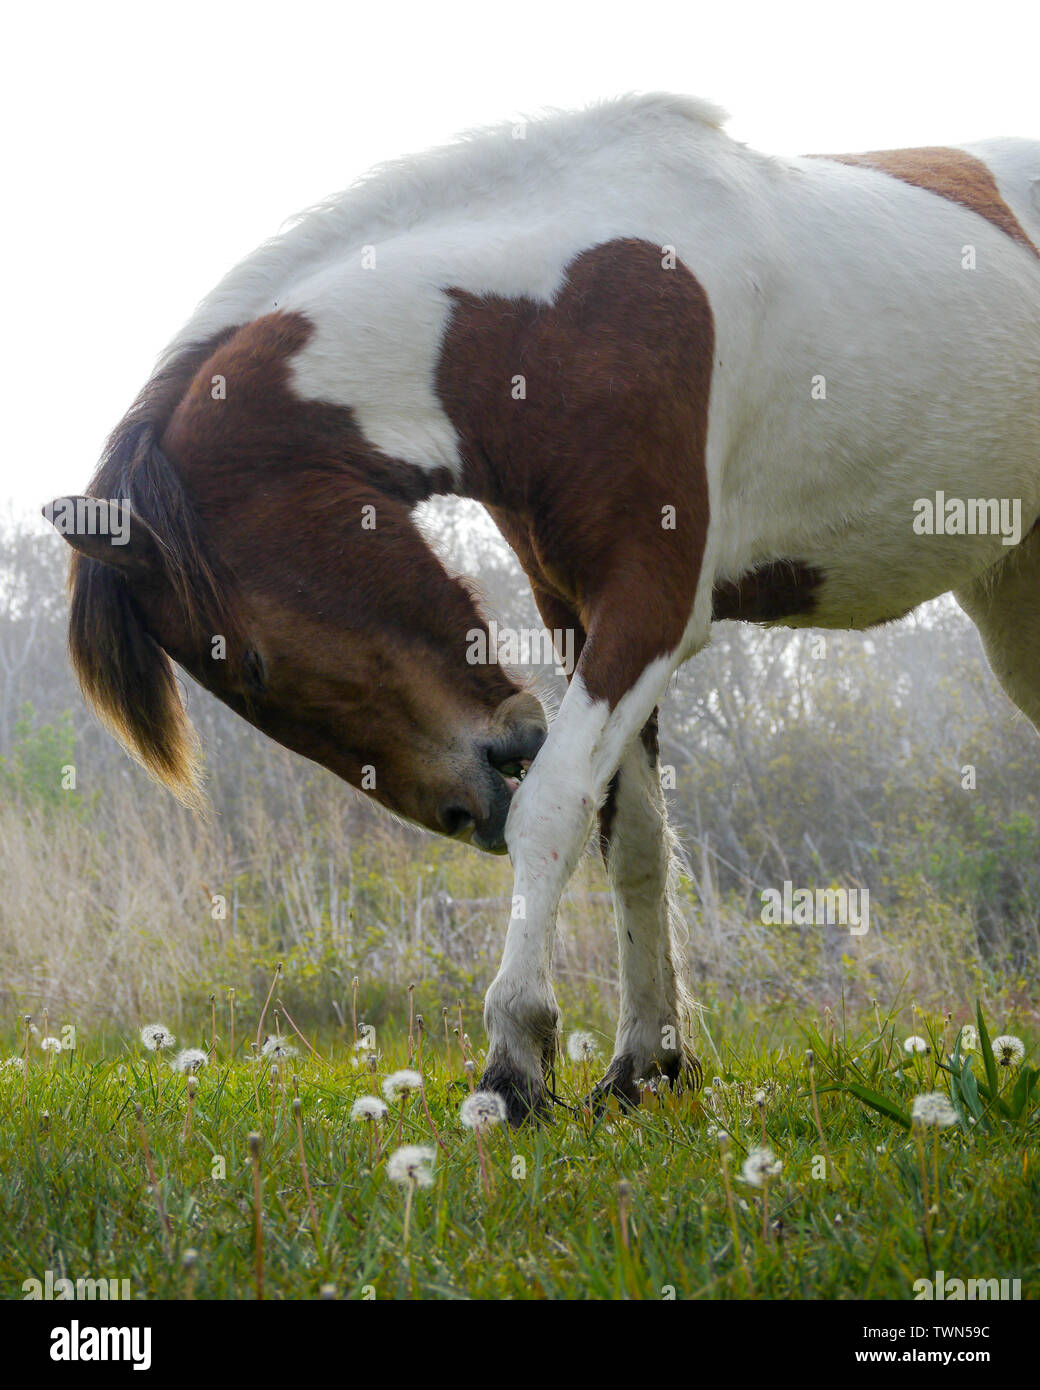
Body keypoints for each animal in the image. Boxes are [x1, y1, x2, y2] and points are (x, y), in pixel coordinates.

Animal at [46, 95, 1040, 1117]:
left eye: (251, 663)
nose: (461, 808)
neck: (554, 318)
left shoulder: (650, 611)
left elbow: (555, 809)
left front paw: (516, 1059)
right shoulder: (575, 612)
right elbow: (632, 838)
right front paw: (644, 1065)